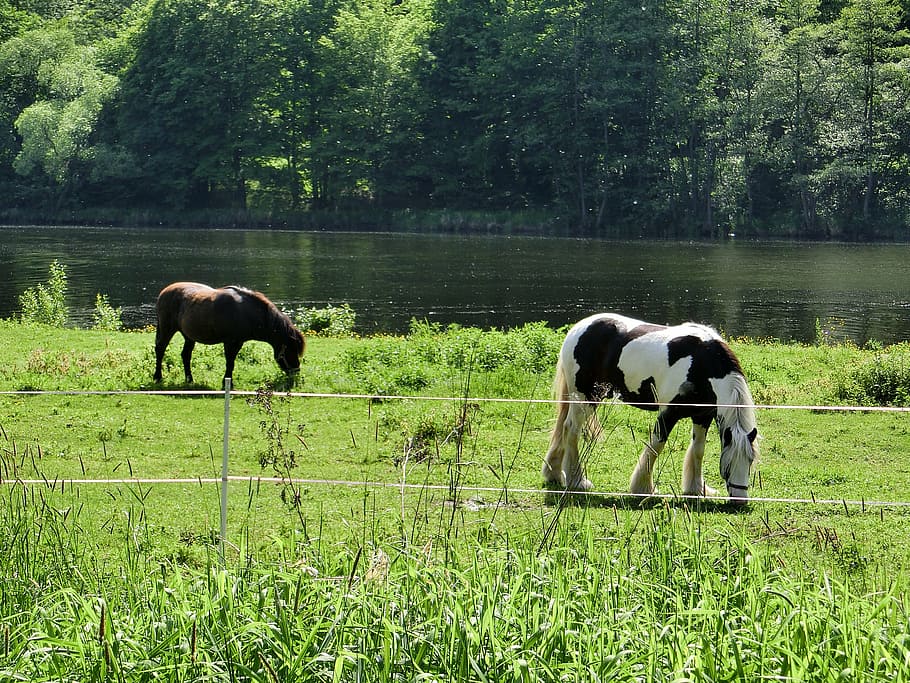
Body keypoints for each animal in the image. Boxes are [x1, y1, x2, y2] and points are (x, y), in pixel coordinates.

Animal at [153, 282, 305, 385]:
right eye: (291, 350)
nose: (296, 371)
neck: (245, 312)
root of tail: (164, 292)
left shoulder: (238, 342)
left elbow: (231, 362)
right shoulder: (230, 342)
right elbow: (230, 362)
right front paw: (228, 383)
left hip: (189, 336)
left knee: (185, 355)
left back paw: (189, 379)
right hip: (167, 330)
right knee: (160, 350)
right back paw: (158, 377)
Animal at [542, 313, 759, 504]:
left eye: (750, 461)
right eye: (728, 465)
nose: (740, 501)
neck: (701, 363)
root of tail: (577, 329)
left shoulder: (702, 416)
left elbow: (698, 450)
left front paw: (696, 489)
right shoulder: (669, 413)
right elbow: (656, 446)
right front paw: (643, 487)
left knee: (563, 428)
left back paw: (554, 473)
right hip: (585, 397)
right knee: (571, 429)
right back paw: (577, 481)